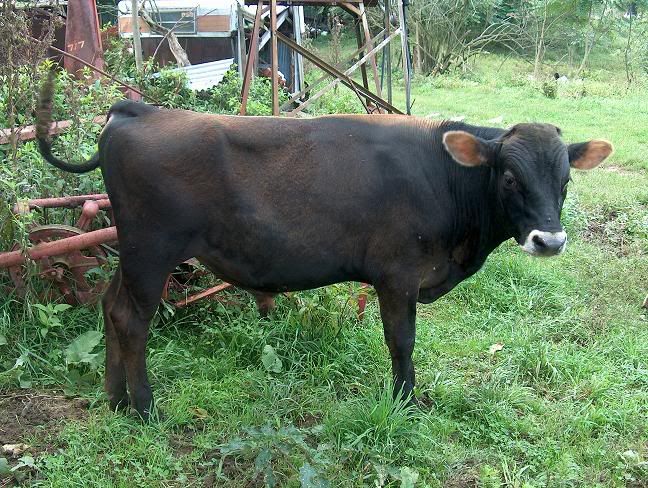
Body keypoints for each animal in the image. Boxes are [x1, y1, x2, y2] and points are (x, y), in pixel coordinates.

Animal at [36, 77, 612, 419]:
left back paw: (114, 400)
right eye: (510, 177)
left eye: (565, 178)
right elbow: (401, 342)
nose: (550, 239)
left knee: (110, 306)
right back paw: (143, 408)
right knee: (132, 320)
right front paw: (405, 403)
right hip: (152, 249)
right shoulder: (398, 273)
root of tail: (136, 111)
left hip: (132, 252)